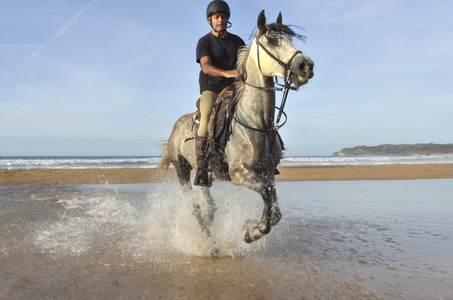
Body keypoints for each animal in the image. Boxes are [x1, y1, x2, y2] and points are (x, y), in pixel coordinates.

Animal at [157, 9, 312, 244]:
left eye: (291, 40)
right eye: (272, 41)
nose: (307, 66)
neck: (257, 123)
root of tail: (176, 127)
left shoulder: (267, 172)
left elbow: (274, 210)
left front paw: (250, 227)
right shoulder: (240, 174)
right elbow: (268, 197)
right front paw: (251, 232)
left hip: (205, 172)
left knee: (208, 198)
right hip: (181, 168)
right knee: (194, 207)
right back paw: (209, 242)